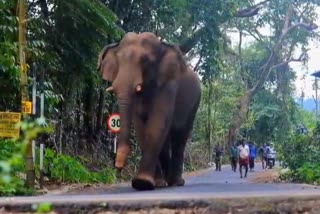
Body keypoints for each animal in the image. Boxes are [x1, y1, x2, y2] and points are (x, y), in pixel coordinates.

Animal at [97, 32, 200, 191]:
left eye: (145, 61)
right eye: (119, 60)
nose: (118, 167)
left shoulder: (169, 84)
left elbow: (156, 123)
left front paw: (142, 183)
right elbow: (141, 127)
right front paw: (151, 183)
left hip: (194, 104)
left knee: (180, 136)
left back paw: (176, 182)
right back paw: (164, 182)